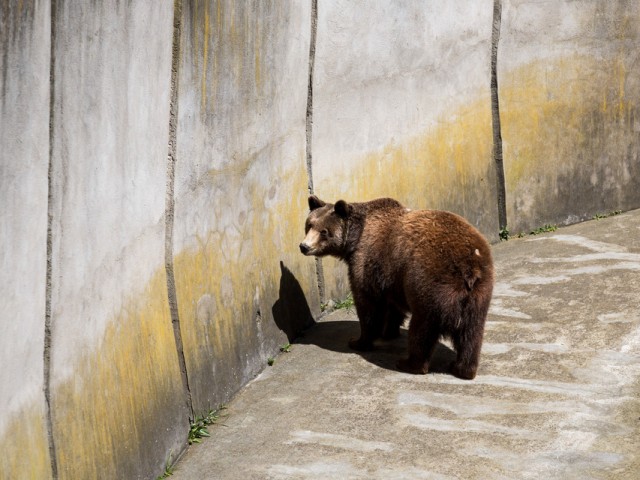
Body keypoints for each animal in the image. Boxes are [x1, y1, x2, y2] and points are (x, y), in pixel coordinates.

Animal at [300, 195, 496, 378]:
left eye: (324, 231)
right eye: (309, 225)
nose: (304, 246)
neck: (355, 238)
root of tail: (469, 266)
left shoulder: (367, 260)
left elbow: (367, 304)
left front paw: (358, 340)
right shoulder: (391, 276)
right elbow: (393, 305)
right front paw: (389, 331)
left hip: (431, 282)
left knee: (423, 327)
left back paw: (409, 363)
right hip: (479, 292)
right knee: (472, 332)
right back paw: (462, 368)